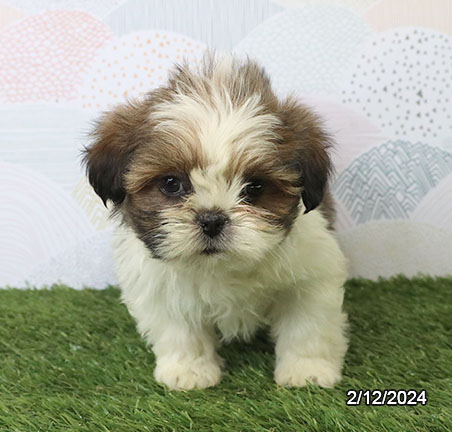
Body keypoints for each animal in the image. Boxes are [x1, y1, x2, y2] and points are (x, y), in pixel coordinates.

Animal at [83, 54, 348, 392]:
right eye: (171, 183)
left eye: (254, 187)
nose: (212, 220)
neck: (221, 268)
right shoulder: (160, 286)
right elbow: (179, 328)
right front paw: (189, 370)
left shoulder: (311, 274)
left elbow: (308, 325)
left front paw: (307, 369)